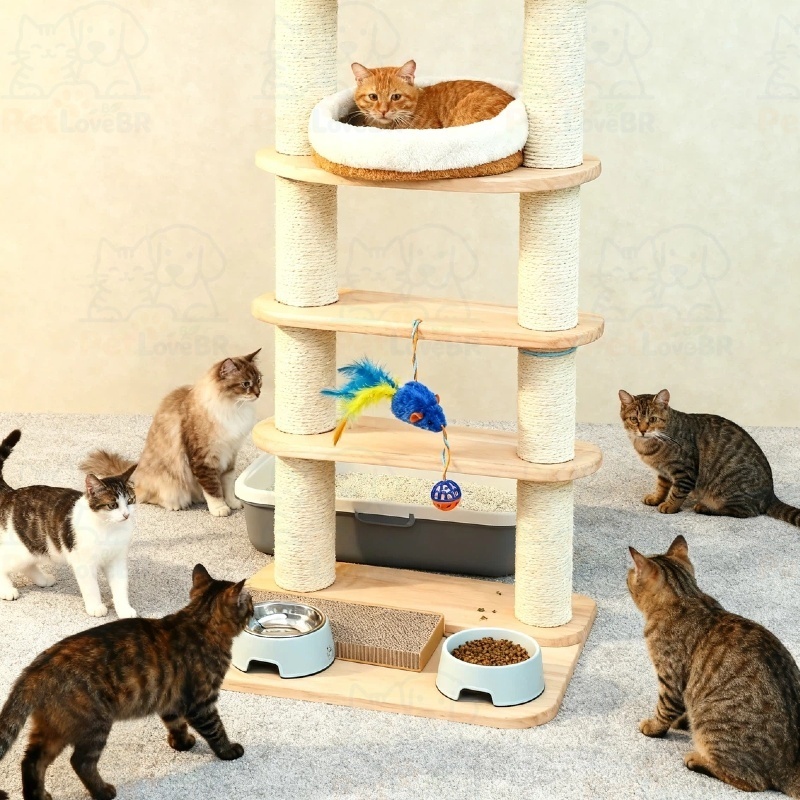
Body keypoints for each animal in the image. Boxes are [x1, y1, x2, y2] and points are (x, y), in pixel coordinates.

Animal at [0, 429, 138, 618]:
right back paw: (7, 590)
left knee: (27, 564)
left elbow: (120, 587)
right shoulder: (83, 562)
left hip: (34, 548)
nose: (126, 515)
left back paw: (43, 579)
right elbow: (91, 587)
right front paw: (95, 606)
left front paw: (124, 609)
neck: (108, 529)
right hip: (22, 549)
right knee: (4, 562)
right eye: (112, 505)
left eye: (130, 500)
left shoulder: (116, 559)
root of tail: (12, 493)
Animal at [0, 564, 252, 800]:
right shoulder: (202, 703)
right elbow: (216, 730)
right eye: (249, 601)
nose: (253, 605)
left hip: (54, 729)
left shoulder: (170, 700)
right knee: (80, 762)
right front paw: (228, 751)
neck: (199, 621)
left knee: (32, 761)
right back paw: (102, 791)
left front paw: (182, 743)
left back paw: (39, 795)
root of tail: (35, 670)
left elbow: (176, 724)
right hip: (94, 726)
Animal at [80, 351, 262, 517]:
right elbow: (213, 489)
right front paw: (220, 509)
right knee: (145, 497)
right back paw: (175, 505)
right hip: (170, 486)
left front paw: (233, 503)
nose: (258, 393)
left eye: (259, 380)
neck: (232, 408)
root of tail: (137, 473)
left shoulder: (230, 453)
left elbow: (228, 485)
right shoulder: (204, 459)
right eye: (246, 383)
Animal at [619, 389, 800, 526]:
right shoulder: (664, 472)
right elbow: (662, 487)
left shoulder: (685, 471)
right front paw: (656, 498)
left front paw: (670, 506)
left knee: (746, 511)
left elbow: (677, 493)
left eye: (653, 419)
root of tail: (770, 495)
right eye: (634, 419)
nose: (643, 430)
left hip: (729, 489)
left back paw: (704, 508)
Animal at [628, 535, 800, 796]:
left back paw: (696, 760)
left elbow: (664, 709)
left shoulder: (670, 678)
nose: (627, 574)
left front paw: (653, 727)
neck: (688, 596)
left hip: (713, 727)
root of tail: (791, 767)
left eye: (630, 573)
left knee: (753, 782)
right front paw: (681, 721)